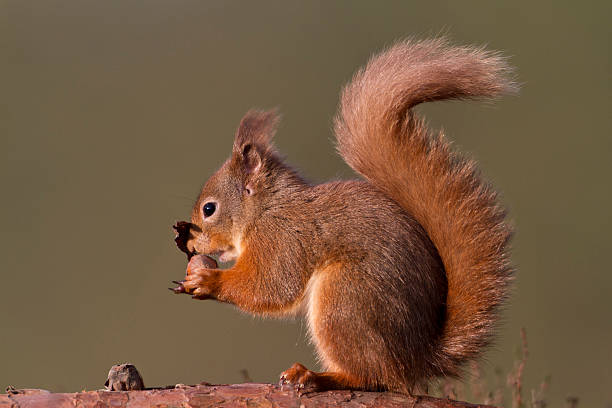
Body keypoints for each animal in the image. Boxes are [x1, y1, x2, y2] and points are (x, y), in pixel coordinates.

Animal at [171, 39, 516, 396]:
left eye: (209, 209)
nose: (190, 244)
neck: (266, 209)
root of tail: (416, 360)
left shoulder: (281, 239)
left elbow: (271, 286)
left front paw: (208, 281)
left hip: (343, 300)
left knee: (373, 376)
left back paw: (316, 376)